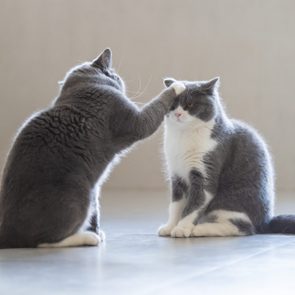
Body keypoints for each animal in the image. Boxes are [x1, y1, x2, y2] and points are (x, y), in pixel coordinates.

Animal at [0, 49, 185, 250]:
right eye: (116, 75)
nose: (119, 78)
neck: (82, 87)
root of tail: (6, 233)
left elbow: (97, 212)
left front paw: (97, 230)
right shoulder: (131, 118)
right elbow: (153, 110)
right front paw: (177, 87)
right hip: (80, 194)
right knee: (45, 241)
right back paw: (88, 238)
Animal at [160, 77, 295, 238]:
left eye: (190, 104)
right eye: (172, 104)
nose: (178, 114)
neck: (183, 136)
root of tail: (266, 222)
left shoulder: (206, 171)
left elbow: (194, 204)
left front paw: (182, 228)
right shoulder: (176, 176)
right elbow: (175, 206)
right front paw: (170, 226)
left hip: (229, 202)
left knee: (243, 227)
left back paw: (200, 229)